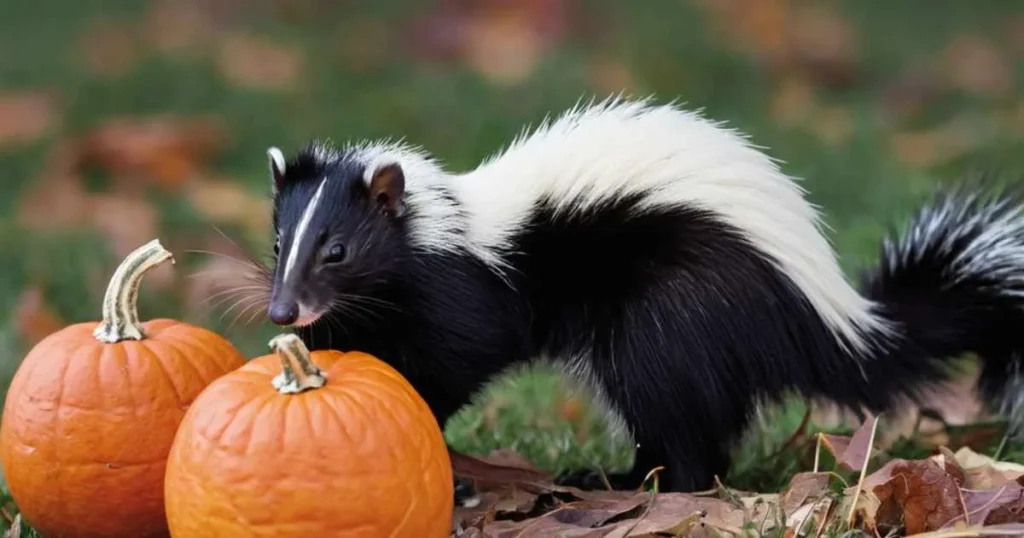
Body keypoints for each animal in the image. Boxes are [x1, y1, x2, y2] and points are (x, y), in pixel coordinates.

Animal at [260, 95, 1024, 489]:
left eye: (337, 250)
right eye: (277, 244)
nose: (281, 307)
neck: (441, 230)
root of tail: (836, 315)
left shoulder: (465, 295)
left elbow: (455, 360)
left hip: (678, 306)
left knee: (673, 410)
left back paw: (628, 482)